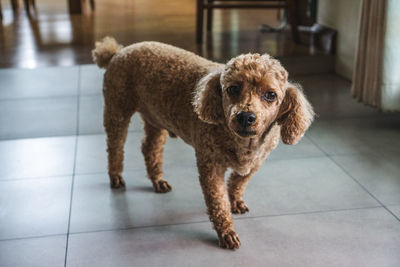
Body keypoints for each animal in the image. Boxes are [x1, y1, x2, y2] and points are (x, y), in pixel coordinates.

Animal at [92, 36, 314, 250]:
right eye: (232, 89)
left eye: (270, 95)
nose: (245, 117)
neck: (243, 143)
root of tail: (118, 51)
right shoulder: (211, 167)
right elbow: (218, 202)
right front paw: (226, 232)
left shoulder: (255, 163)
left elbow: (238, 182)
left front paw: (235, 201)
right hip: (117, 110)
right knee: (115, 147)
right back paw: (116, 176)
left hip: (156, 119)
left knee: (150, 149)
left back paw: (157, 180)